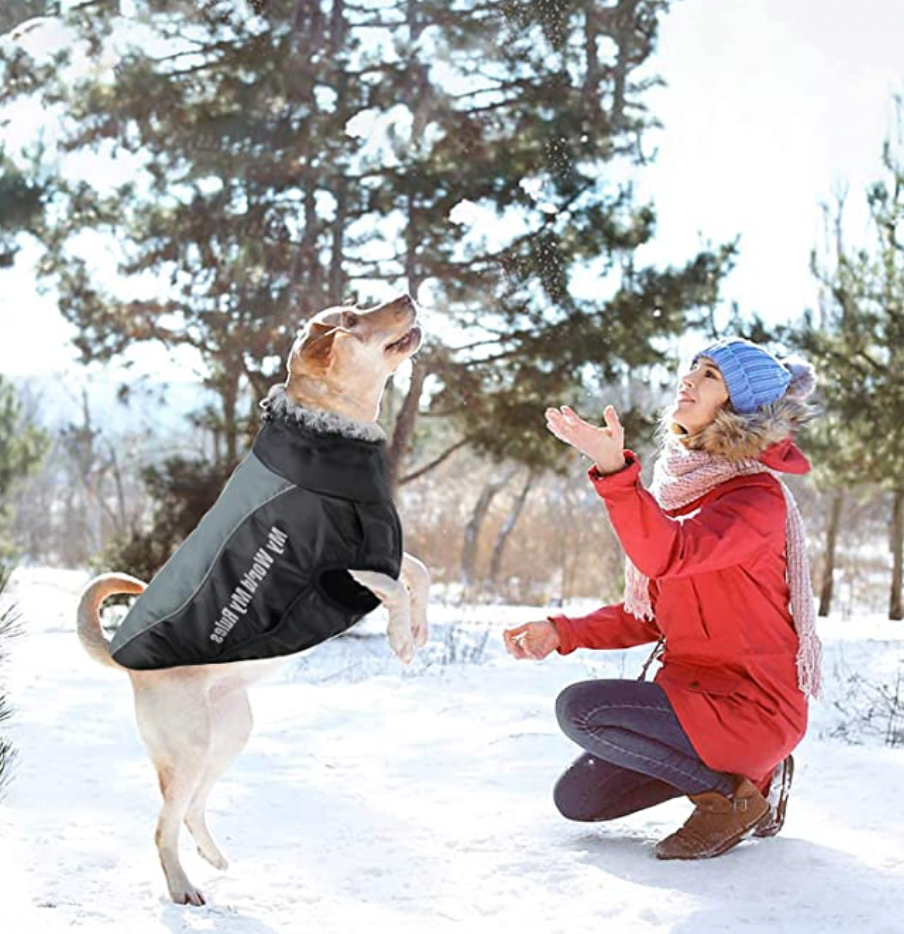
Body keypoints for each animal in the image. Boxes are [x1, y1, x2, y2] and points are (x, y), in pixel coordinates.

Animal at [77, 294, 430, 908]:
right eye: (352, 319)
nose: (408, 297)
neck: (327, 432)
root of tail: (123, 661)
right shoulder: (340, 572)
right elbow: (395, 591)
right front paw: (401, 640)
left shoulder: (383, 551)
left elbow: (422, 575)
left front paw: (420, 631)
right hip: (190, 747)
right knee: (163, 825)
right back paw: (183, 888)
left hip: (231, 732)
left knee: (193, 809)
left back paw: (214, 858)